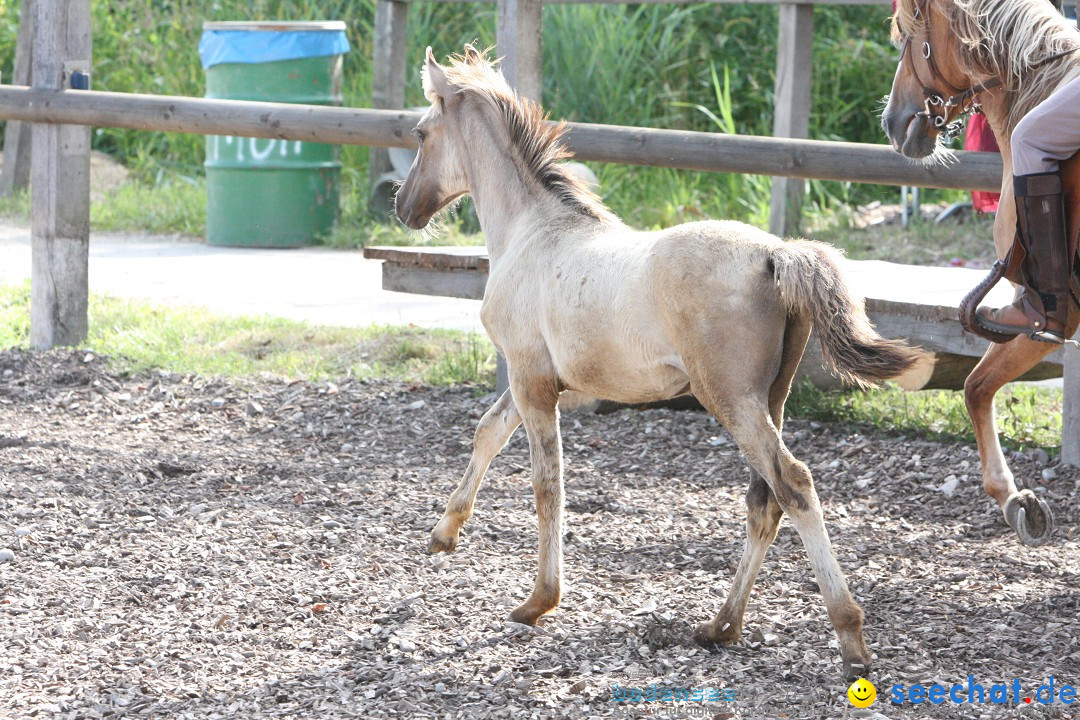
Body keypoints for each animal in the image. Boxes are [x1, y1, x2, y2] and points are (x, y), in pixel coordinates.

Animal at [401, 46, 924, 682]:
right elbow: (487, 432)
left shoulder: (530, 379)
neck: (532, 233)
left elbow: (546, 484)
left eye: (421, 133)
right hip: (771, 398)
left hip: (731, 398)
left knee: (793, 484)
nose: (403, 207)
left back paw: (849, 639)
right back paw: (720, 627)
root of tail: (777, 253)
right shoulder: (550, 381)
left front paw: (537, 601)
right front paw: (443, 533)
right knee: (764, 502)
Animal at [881, 0, 1075, 546]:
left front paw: (1011, 497)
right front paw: (1017, 499)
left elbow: (975, 386)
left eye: (905, 38)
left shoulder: (1050, 318)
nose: (893, 121)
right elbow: (978, 386)